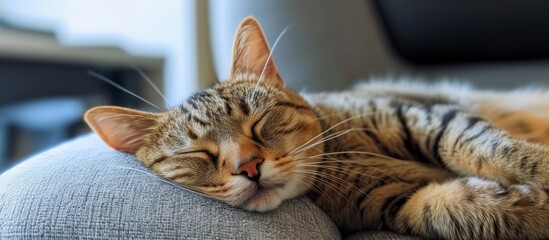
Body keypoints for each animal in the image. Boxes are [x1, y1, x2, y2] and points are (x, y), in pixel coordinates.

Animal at [81, 17, 548, 240]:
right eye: (198, 154)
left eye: (258, 121)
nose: (248, 167)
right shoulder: (401, 201)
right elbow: (463, 208)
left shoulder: (422, 115)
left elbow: (490, 149)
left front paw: (539, 166)